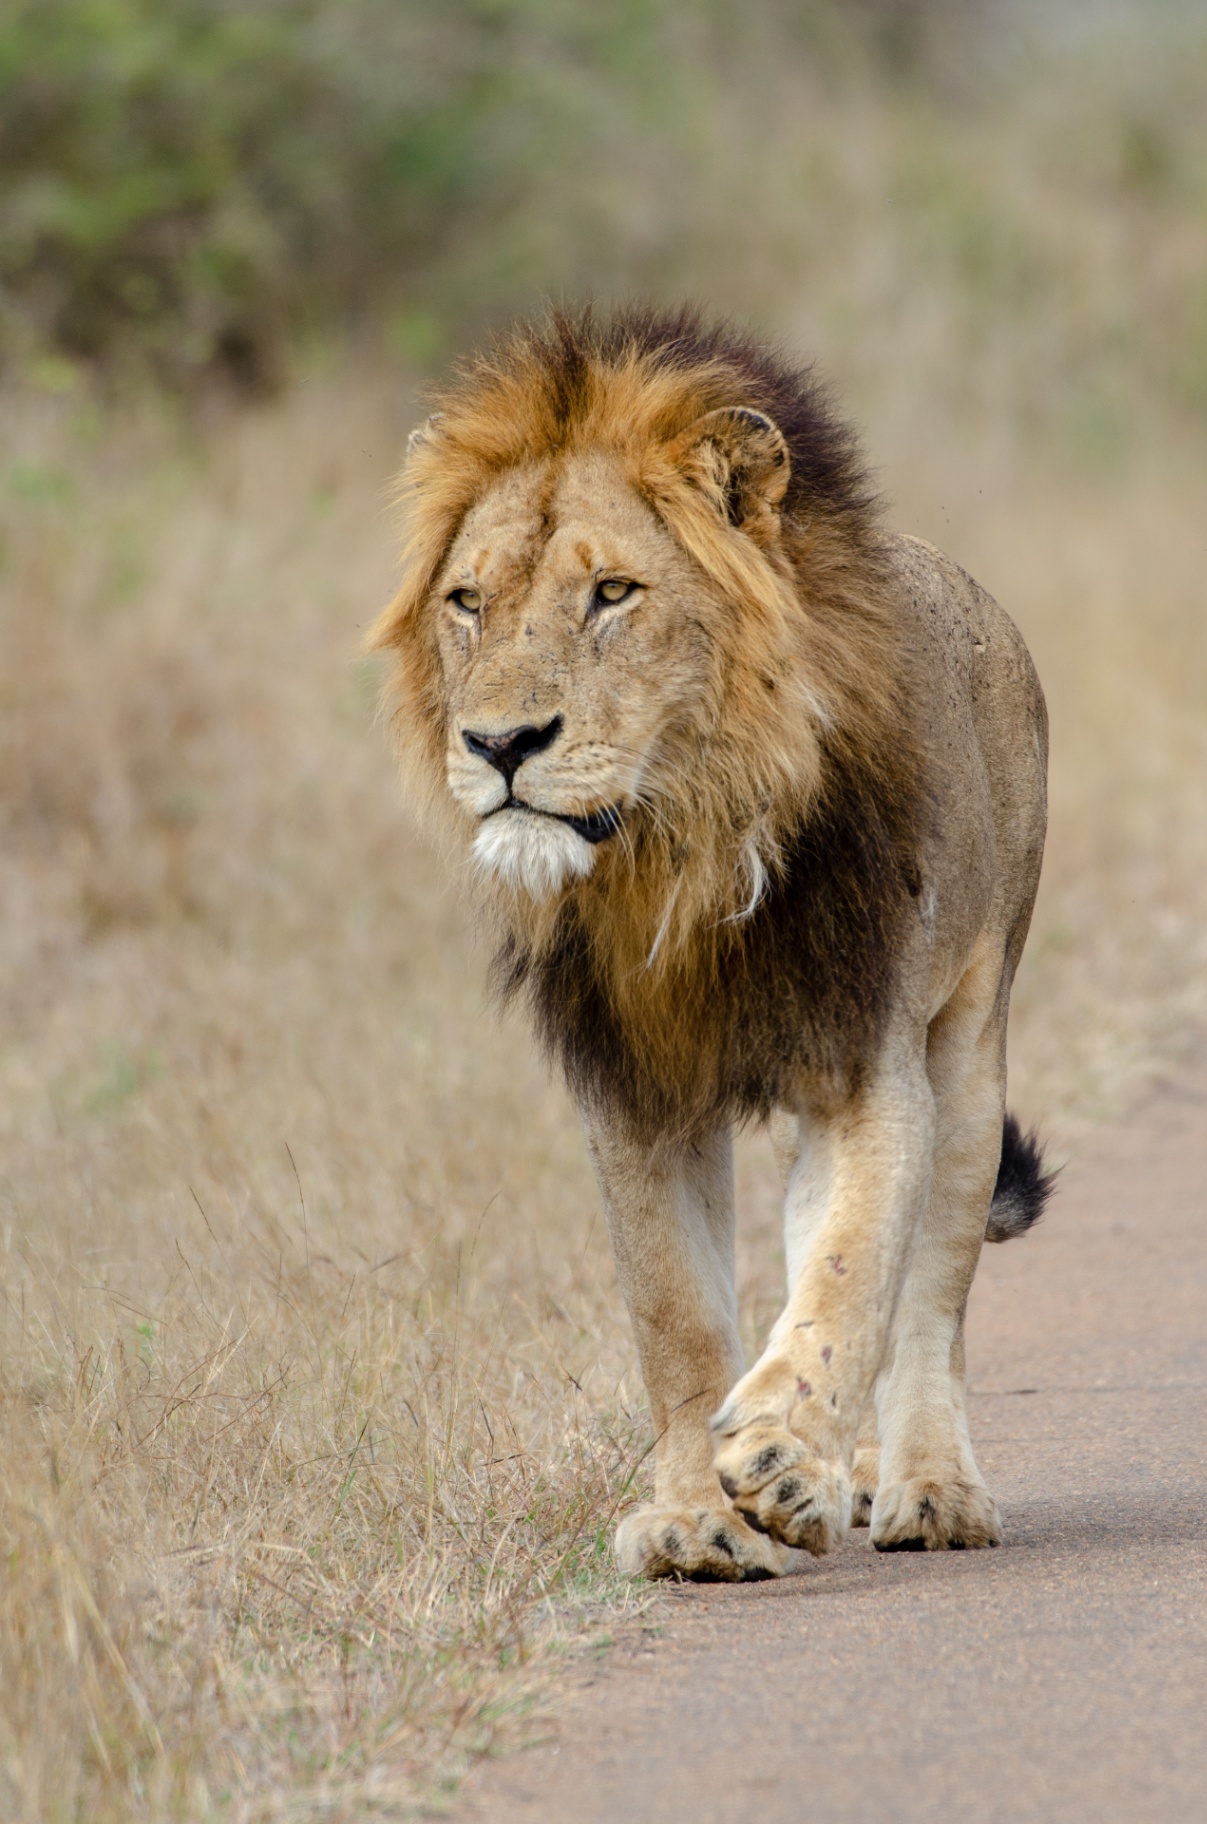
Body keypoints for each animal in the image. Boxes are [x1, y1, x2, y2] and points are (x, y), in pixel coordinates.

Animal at [371, 304, 1053, 1579]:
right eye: (468, 601)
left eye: (613, 593)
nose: (499, 745)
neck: (677, 849)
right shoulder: (634, 1090)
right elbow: (677, 1318)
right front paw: (697, 1518)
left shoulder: (867, 1063)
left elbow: (852, 1273)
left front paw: (782, 1459)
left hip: (971, 1042)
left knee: (929, 1291)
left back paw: (926, 1489)